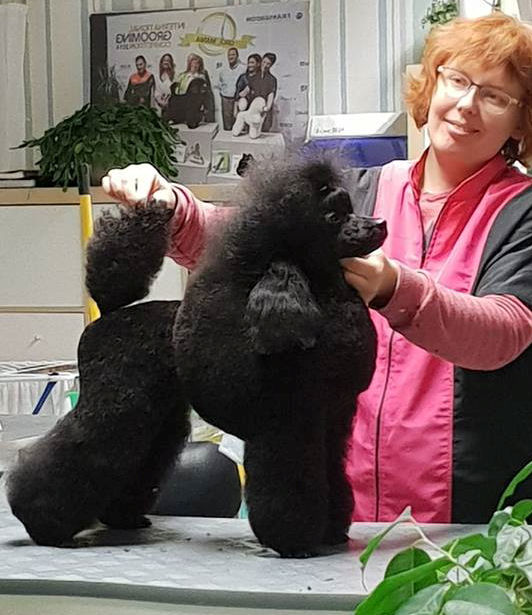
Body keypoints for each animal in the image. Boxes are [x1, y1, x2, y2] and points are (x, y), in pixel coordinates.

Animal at [174, 155, 387, 557]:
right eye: (332, 217)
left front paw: (332, 530)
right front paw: (295, 542)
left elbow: (333, 477)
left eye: (350, 208)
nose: (379, 224)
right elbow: (291, 486)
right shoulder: (289, 424)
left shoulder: (330, 422)